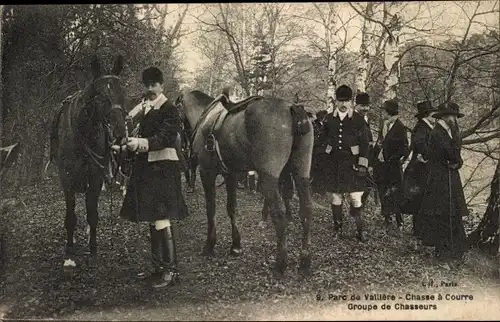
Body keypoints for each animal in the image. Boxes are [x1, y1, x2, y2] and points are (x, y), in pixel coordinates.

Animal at [49, 55, 127, 274]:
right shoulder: (66, 179)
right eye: (100, 96)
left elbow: (93, 214)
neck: (83, 131)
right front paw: (69, 253)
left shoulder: (95, 177)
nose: (119, 133)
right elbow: (70, 216)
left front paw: (93, 250)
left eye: (121, 92)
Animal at [177, 88, 312, 276]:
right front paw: (236, 245)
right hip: (301, 173)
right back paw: (305, 261)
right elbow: (232, 208)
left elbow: (211, 209)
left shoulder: (207, 172)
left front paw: (210, 245)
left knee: (279, 214)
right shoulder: (231, 175)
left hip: (269, 178)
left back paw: (281, 264)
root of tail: (292, 107)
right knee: (306, 211)